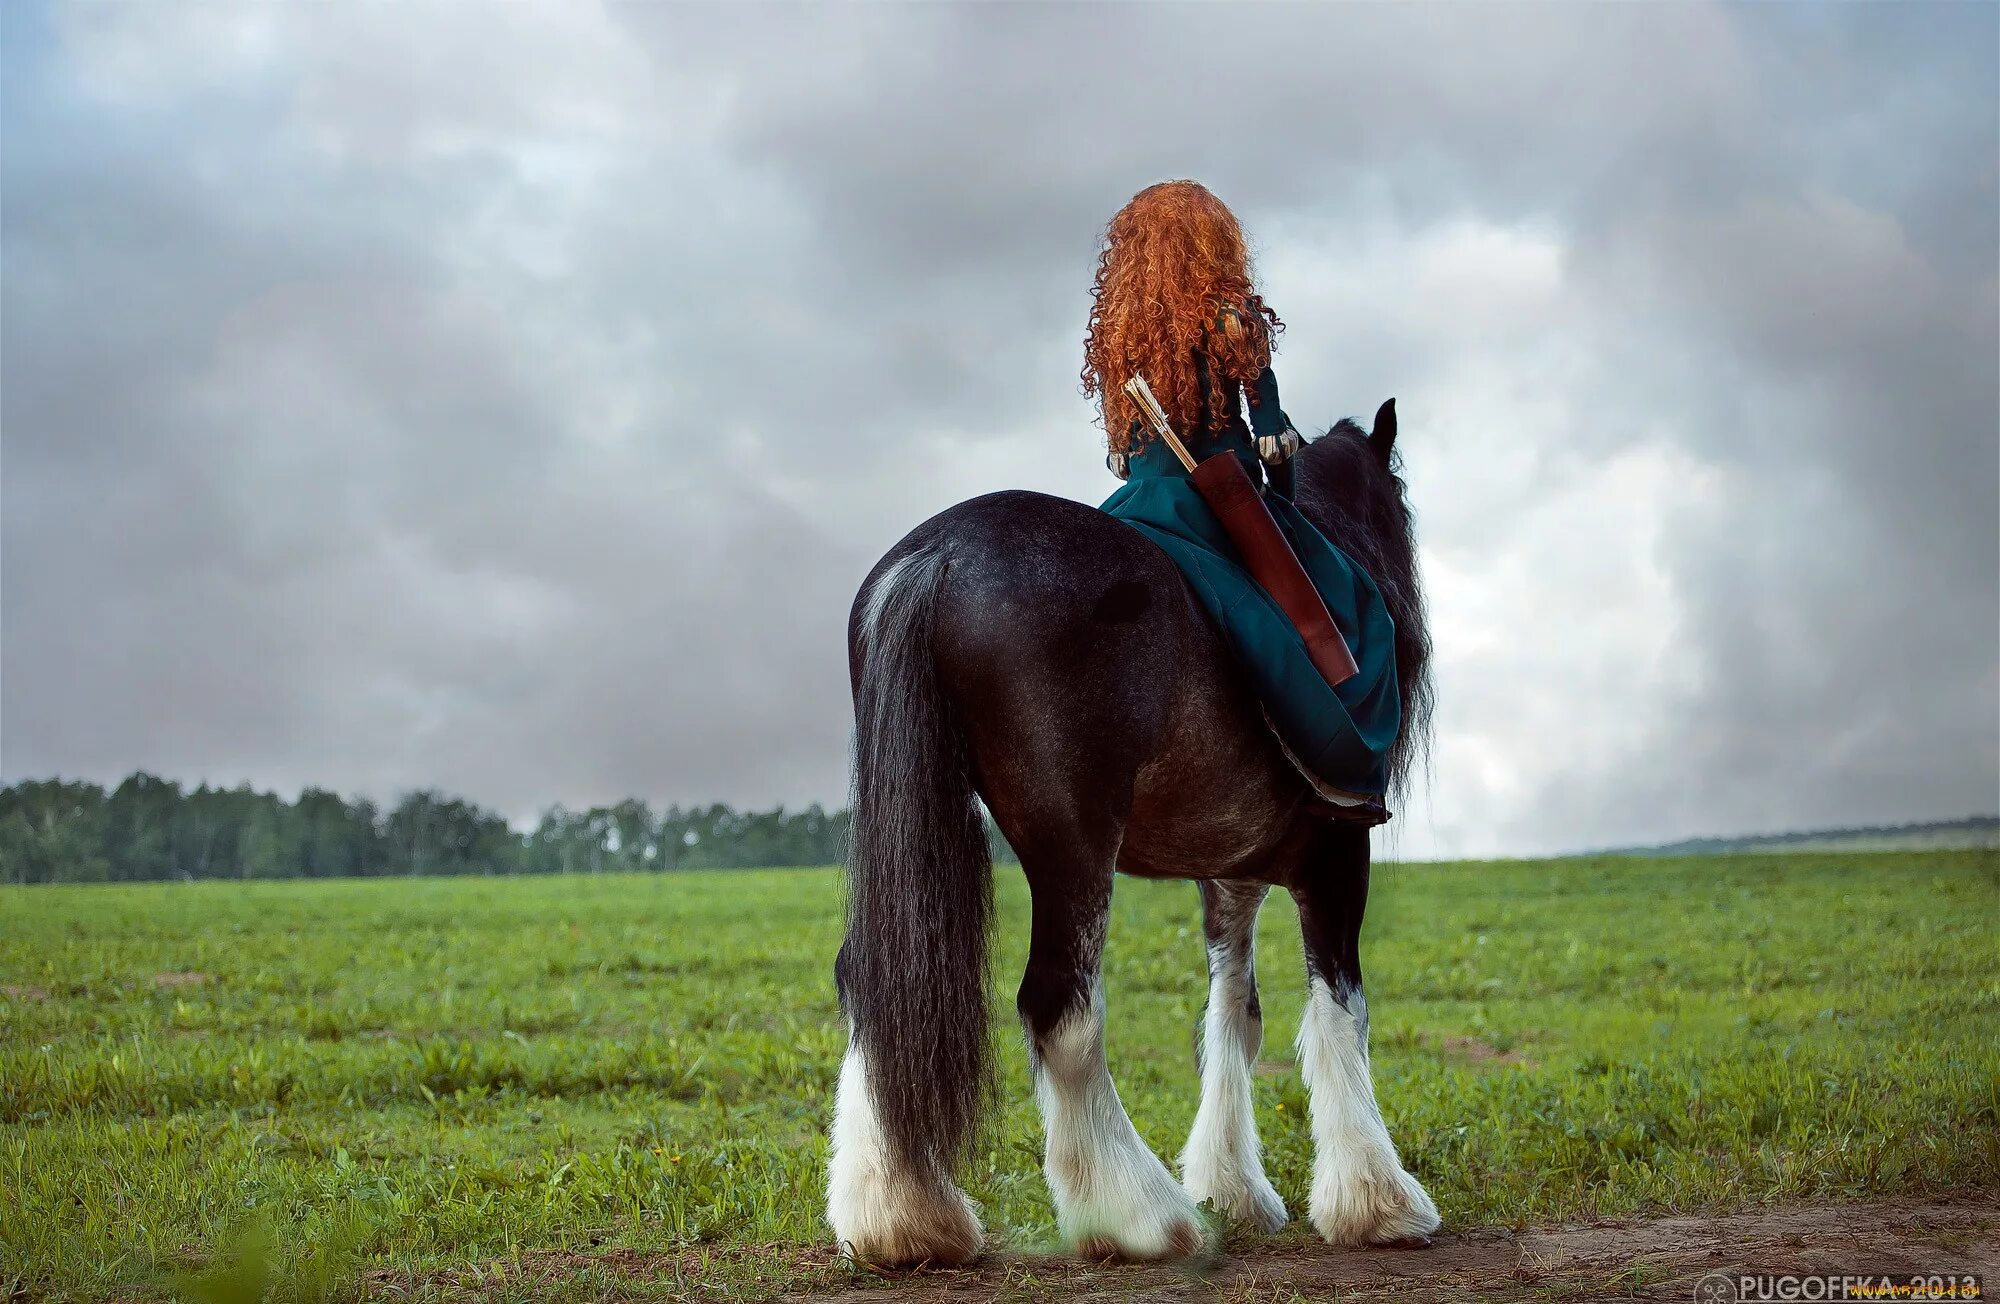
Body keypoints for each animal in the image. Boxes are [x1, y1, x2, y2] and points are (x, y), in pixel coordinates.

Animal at [828, 400, 1440, 1264]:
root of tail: (937, 555)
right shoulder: (1335, 854)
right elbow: (1340, 1010)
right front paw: (1376, 1201)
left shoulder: (1229, 871)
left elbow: (1234, 1015)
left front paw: (1233, 1183)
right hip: (1073, 845)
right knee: (1060, 1008)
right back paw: (1138, 1214)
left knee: (871, 985)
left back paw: (900, 1217)